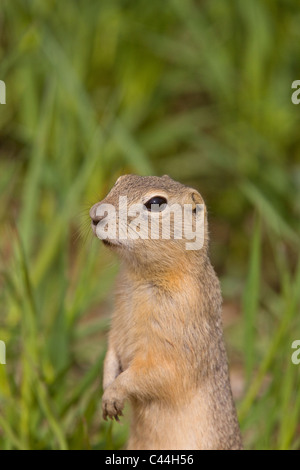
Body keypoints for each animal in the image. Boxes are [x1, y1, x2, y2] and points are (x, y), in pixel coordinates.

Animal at [89, 174, 244, 450]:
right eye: (119, 181)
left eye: (156, 203)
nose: (94, 214)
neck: (140, 277)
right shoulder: (117, 320)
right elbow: (111, 352)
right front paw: (107, 387)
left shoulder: (174, 339)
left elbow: (156, 372)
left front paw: (113, 394)